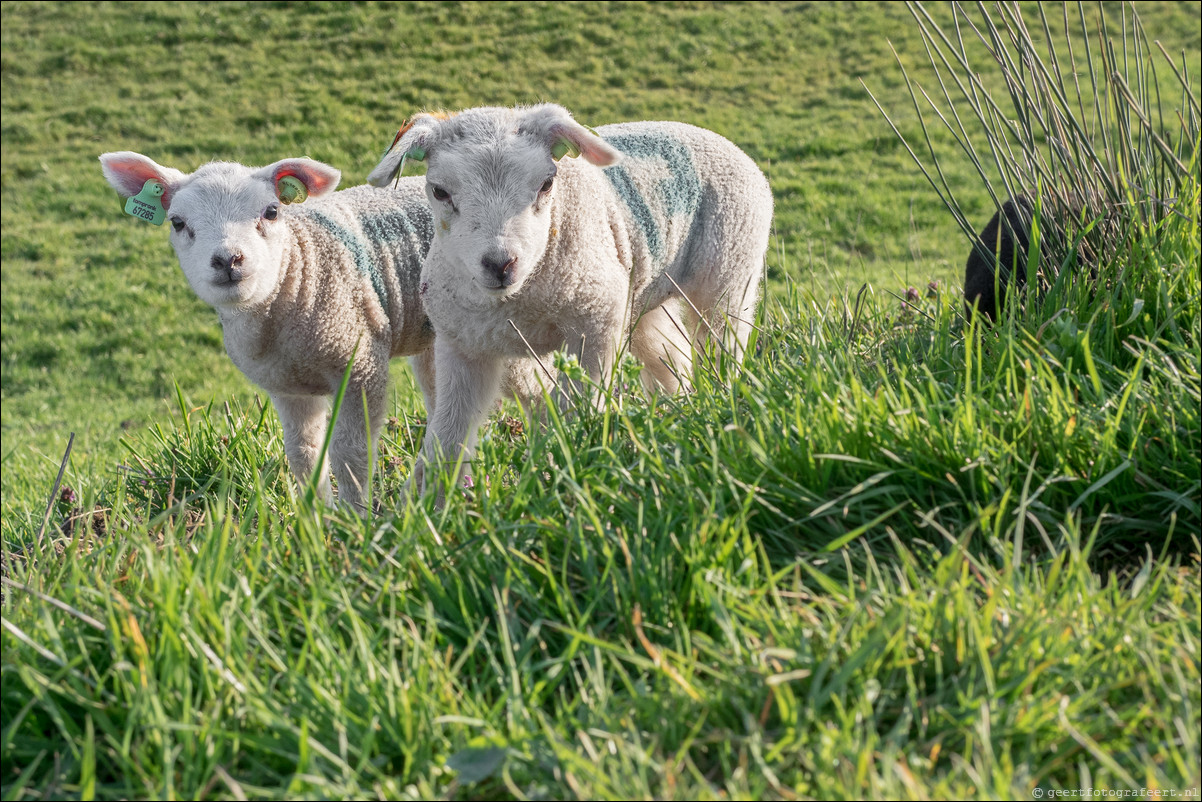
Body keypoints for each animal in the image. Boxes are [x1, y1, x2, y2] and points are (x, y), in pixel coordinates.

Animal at [100, 152, 514, 507]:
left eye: (271, 211)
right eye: (178, 223)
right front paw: (317, 518)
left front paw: (354, 519)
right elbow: (303, 454)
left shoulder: (359, 361)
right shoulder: (288, 387)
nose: (229, 260)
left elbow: (350, 451)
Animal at [365, 105, 774, 495]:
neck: (514, 303)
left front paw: (562, 469)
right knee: (670, 354)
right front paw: (425, 505)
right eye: (439, 191)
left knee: (722, 341)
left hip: (730, 267)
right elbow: (449, 433)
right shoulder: (463, 346)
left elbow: (574, 409)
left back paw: (720, 407)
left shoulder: (594, 323)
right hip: (639, 292)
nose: (500, 264)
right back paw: (676, 412)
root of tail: (718, 138)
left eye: (547, 183)